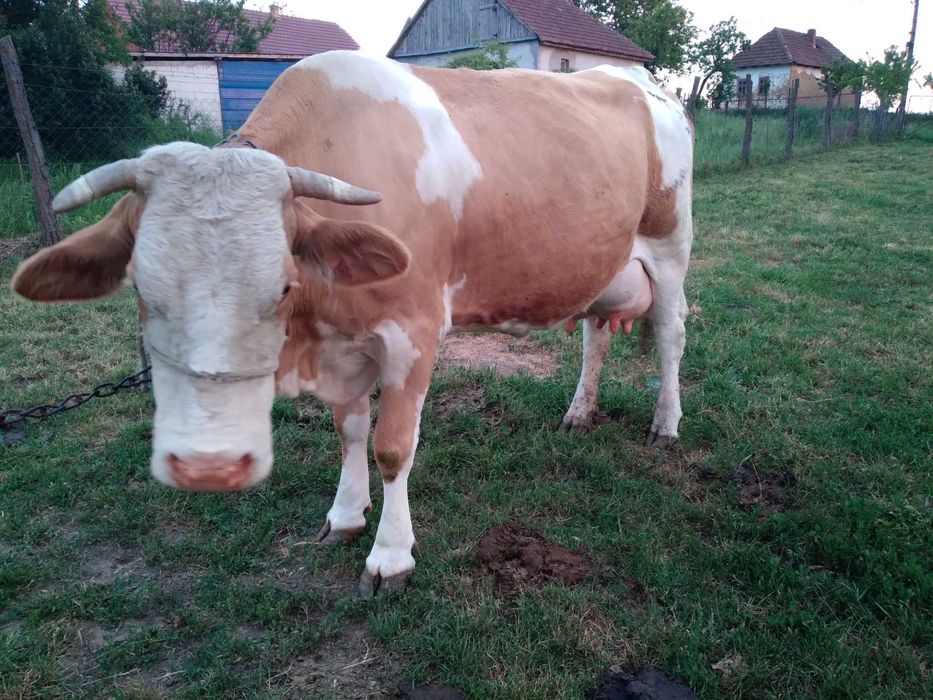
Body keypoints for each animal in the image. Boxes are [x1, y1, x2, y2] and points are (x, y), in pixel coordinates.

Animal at [12, 51, 693, 596]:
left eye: (281, 286)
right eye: (143, 292)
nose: (208, 467)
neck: (312, 336)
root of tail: (642, 79)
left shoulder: (414, 333)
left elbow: (392, 446)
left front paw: (390, 555)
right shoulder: (344, 346)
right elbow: (350, 430)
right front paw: (345, 515)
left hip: (670, 250)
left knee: (671, 338)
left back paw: (665, 423)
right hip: (603, 265)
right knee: (596, 333)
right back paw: (580, 410)